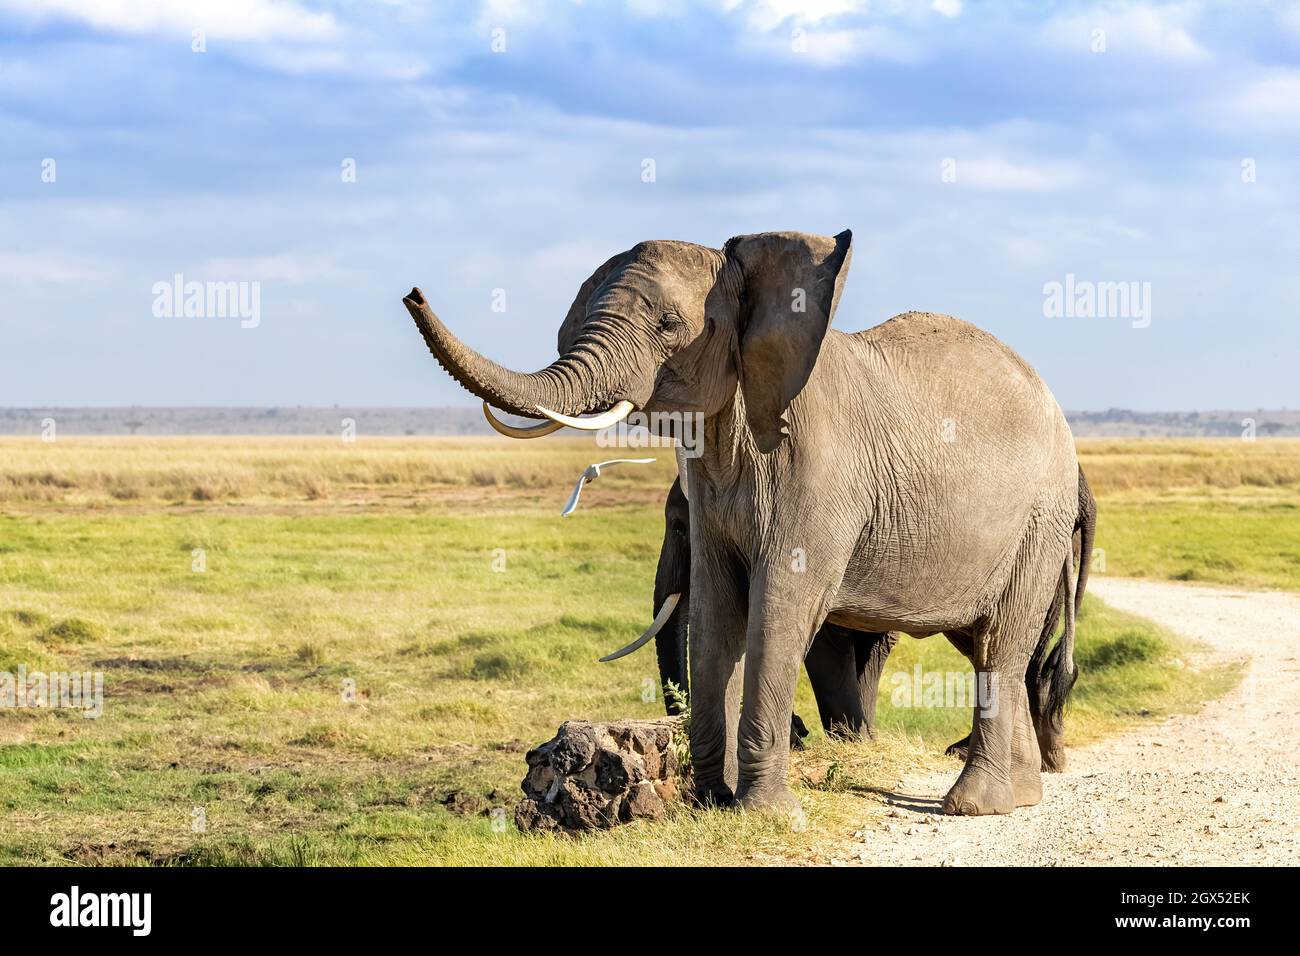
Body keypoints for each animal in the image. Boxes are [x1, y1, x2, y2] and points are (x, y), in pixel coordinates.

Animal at [400, 230, 1081, 816]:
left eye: (669, 326)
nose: (413, 293)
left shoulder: (817, 473)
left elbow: (779, 605)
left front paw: (767, 813)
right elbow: (715, 603)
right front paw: (711, 802)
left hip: (1041, 518)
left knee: (1001, 645)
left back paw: (973, 804)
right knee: (993, 647)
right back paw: (1021, 797)